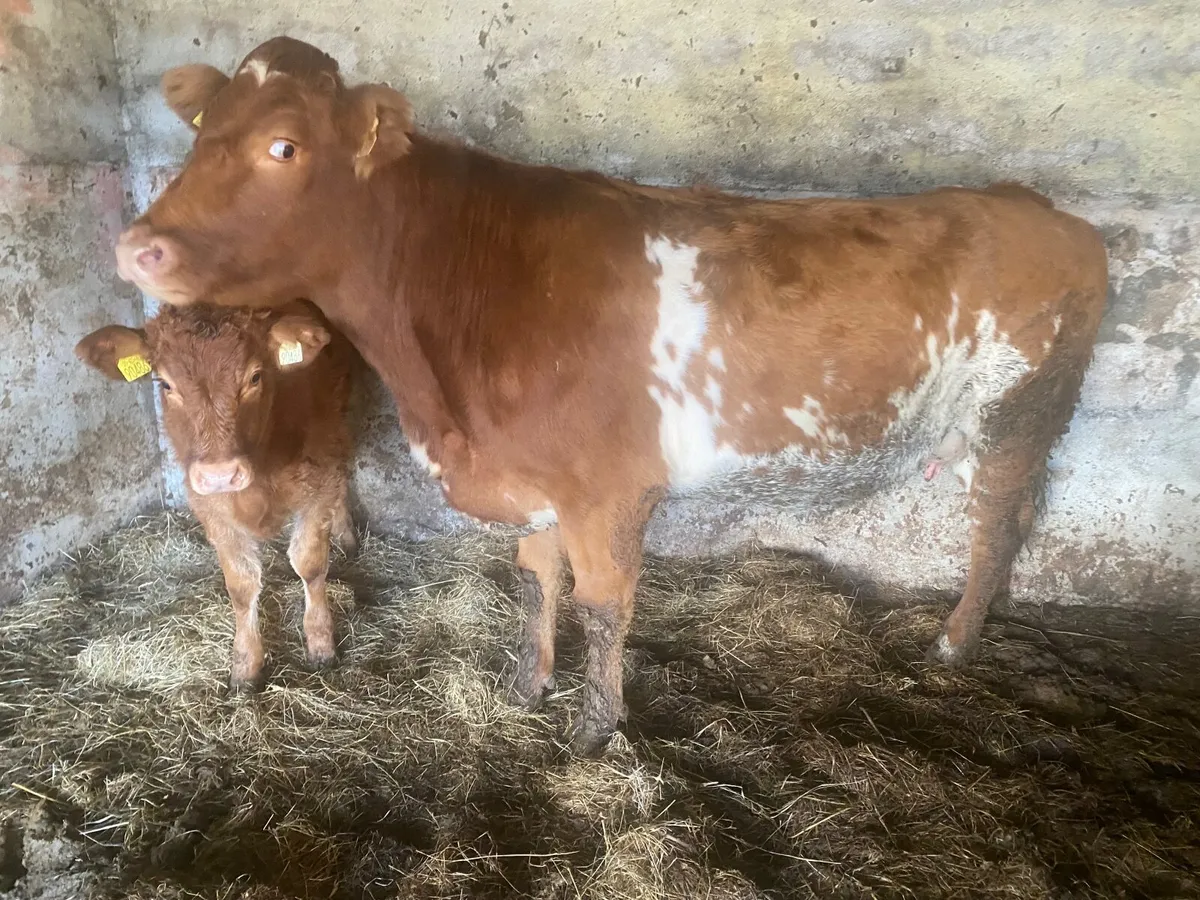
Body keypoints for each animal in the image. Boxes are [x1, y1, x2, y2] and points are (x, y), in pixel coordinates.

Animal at [76, 300, 358, 691]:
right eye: (165, 383)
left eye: (255, 377)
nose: (219, 474)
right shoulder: (211, 507)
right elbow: (240, 585)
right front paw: (245, 666)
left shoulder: (320, 480)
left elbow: (310, 565)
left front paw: (320, 645)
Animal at [110, 37, 1109, 754]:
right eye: (200, 133)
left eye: (283, 145)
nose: (135, 247)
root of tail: (1042, 210)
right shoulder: (535, 483)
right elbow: (535, 583)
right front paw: (527, 686)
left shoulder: (610, 491)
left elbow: (603, 605)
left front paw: (596, 727)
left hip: (1020, 410)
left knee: (997, 522)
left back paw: (954, 643)